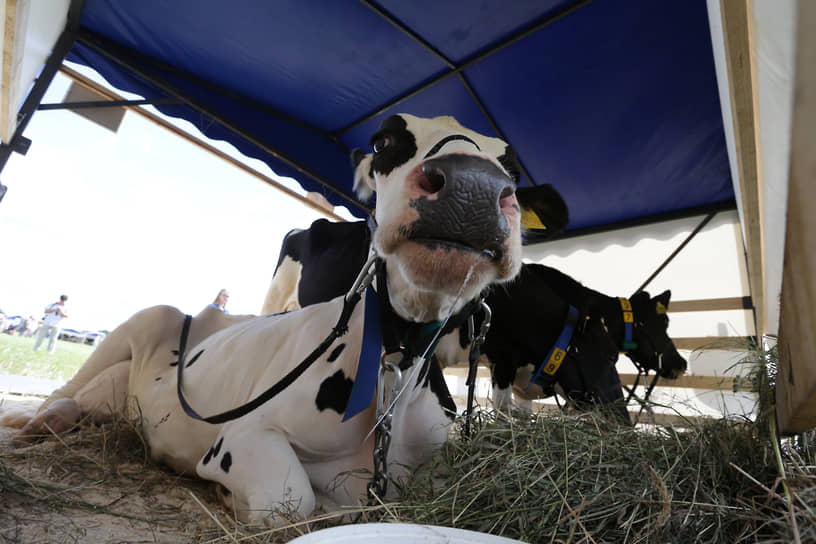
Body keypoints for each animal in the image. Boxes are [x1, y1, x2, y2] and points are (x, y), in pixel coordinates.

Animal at [12, 114, 565, 526]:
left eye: (512, 168)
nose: (473, 186)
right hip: (149, 317)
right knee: (73, 383)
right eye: (385, 139)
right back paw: (32, 420)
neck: (395, 374)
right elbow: (295, 502)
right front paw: (230, 497)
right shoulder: (243, 436)